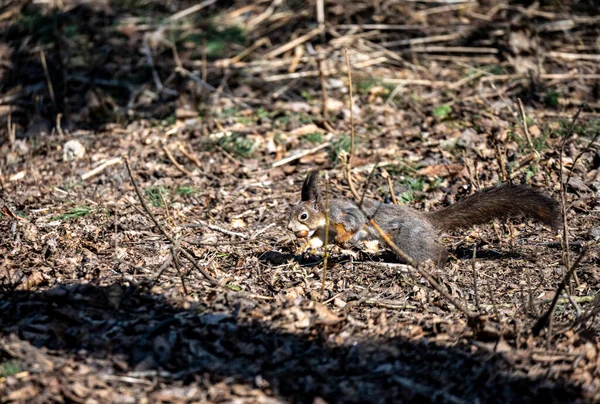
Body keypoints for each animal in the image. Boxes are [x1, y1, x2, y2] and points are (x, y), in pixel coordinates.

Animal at [288, 170, 560, 266]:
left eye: (303, 215)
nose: (291, 229)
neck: (324, 216)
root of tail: (427, 221)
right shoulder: (324, 231)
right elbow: (318, 241)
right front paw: (304, 247)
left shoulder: (342, 214)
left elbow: (353, 225)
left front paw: (345, 240)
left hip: (407, 240)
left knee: (436, 252)